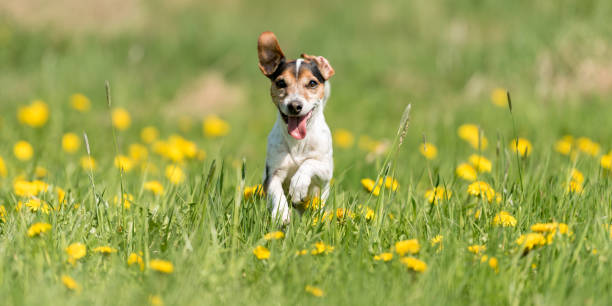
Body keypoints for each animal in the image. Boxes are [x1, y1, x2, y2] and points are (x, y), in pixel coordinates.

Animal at [256, 31, 338, 225]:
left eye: (312, 83)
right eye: (280, 83)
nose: (294, 105)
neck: (297, 143)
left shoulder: (325, 170)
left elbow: (309, 163)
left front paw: (298, 183)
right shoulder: (272, 174)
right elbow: (276, 191)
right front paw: (281, 213)